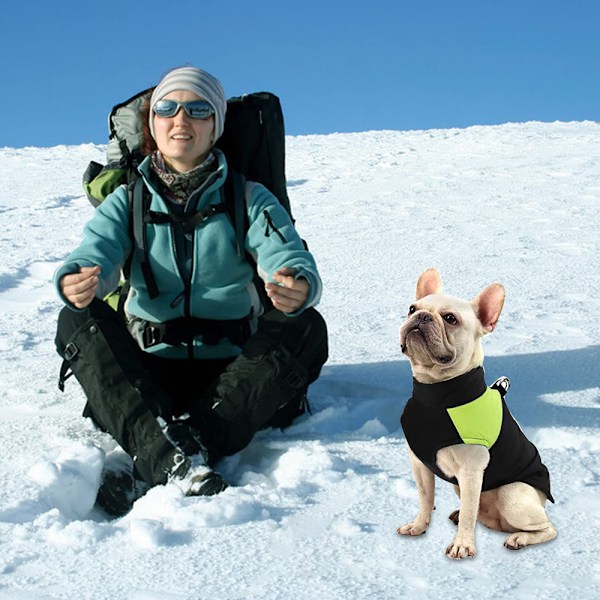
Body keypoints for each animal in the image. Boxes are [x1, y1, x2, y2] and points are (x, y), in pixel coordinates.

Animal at [396, 270, 556, 560]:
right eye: (412, 309)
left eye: (450, 319)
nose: (422, 317)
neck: (437, 393)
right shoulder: (420, 464)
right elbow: (426, 498)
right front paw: (419, 526)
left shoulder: (471, 472)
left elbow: (470, 514)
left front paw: (462, 545)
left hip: (511, 494)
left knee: (546, 528)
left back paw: (519, 538)